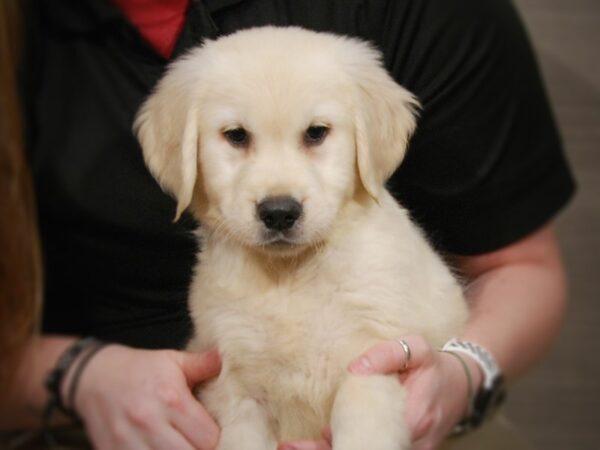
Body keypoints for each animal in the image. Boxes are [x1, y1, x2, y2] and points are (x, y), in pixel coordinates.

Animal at [136, 26, 468, 448]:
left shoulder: (371, 359)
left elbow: (360, 424)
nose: (279, 212)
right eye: (236, 136)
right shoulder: (237, 390)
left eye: (316, 133)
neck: (289, 277)